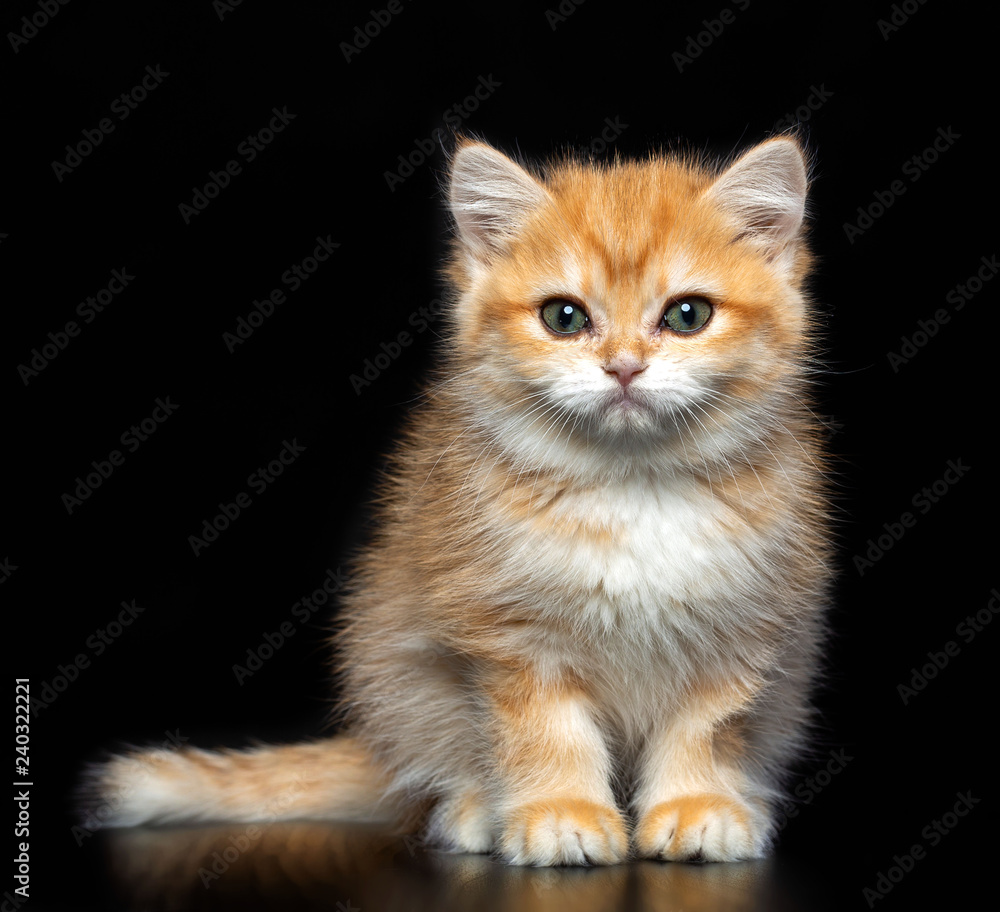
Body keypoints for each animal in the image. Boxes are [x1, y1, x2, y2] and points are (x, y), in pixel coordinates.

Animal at [92, 132, 828, 864]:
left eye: (687, 315)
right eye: (564, 317)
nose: (623, 366)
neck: (633, 489)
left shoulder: (747, 630)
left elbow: (709, 727)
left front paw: (697, 805)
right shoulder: (508, 633)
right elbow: (547, 732)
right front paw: (562, 813)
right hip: (396, 679)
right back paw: (474, 809)